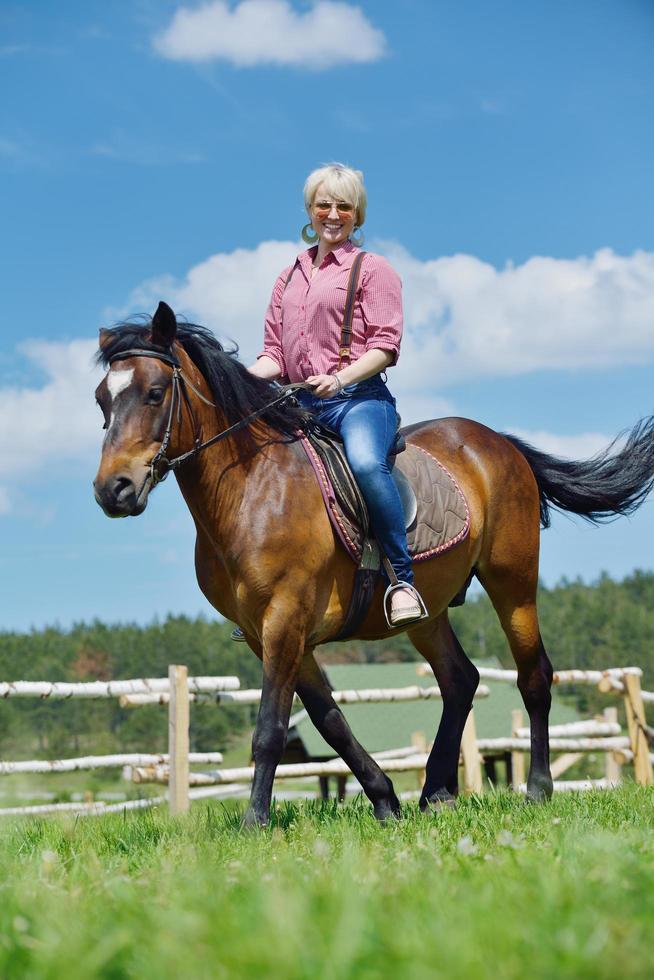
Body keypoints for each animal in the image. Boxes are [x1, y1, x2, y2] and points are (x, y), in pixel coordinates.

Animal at [93, 302, 654, 824]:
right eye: (102, 399)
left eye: (154, 393)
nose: (111, 490)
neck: (252, 488)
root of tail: (499, 443)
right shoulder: (264, 632)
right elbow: (329, 721)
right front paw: (385, 800)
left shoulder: (284, 618)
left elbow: (270, 727)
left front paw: (256, 820)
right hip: (427, 610)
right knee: (460, 680)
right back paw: (435, 793)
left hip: (512, 581)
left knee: (533, 675)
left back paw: (536, 789)